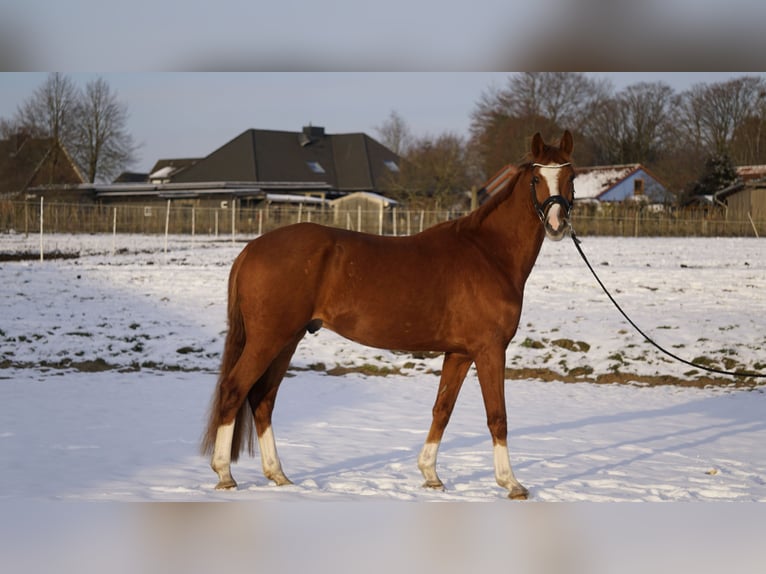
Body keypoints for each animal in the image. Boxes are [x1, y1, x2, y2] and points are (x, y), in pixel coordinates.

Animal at [201, 131, 576, 499]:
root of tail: (251, 249)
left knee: (262, 399)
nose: (557, 224)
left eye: (570, 176)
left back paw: (278, 475)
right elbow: (497, 416)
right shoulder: (490, 349)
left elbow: (442, 410)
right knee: (235, 390)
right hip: (268, 339)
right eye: (537, 178)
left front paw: (430, 475)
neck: (488, 253)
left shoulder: (459, 353)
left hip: (287, 341)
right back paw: (225, 475)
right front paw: (511, 483)